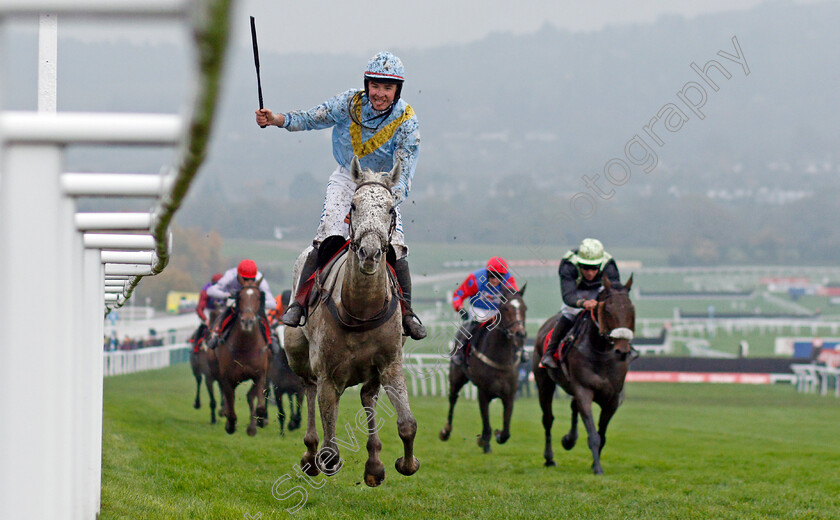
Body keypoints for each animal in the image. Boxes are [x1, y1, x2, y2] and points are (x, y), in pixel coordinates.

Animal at [286, 157, 420, 488]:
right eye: (354, 205)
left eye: (390, 208)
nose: (369, 252)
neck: (361, 310)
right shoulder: (328, 374)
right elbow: (330, 443)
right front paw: (323, 458)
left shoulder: (390, 363)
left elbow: (407, 423)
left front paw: (405, 463)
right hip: (298, 356)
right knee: (308, 389)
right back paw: (310, 455)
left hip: (371, 373)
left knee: (367, 396)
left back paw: (373, 463)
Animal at [440, 284, 524, 450]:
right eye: (506, 309)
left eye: (524, 308)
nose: (520, 334)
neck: (500, 358)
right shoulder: (483, 392)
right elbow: (486, 425)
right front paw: (483, 440)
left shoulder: (509, 394)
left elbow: (506, 432)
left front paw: (498, 434)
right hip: (456, 376)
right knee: (453, 398)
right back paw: (446, 431)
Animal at [536, 276, 632, 476]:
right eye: (608, 310)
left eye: (630, 309)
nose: (622, 351)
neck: (600, 351)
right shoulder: (584, 390)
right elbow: (593, 433)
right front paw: (597, 468)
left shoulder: (612, 398)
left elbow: (602, 434)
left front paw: (594, 462)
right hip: (544, 382)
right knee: (548, 418)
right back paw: (549, 458)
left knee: (573, 407)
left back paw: (569, 439)